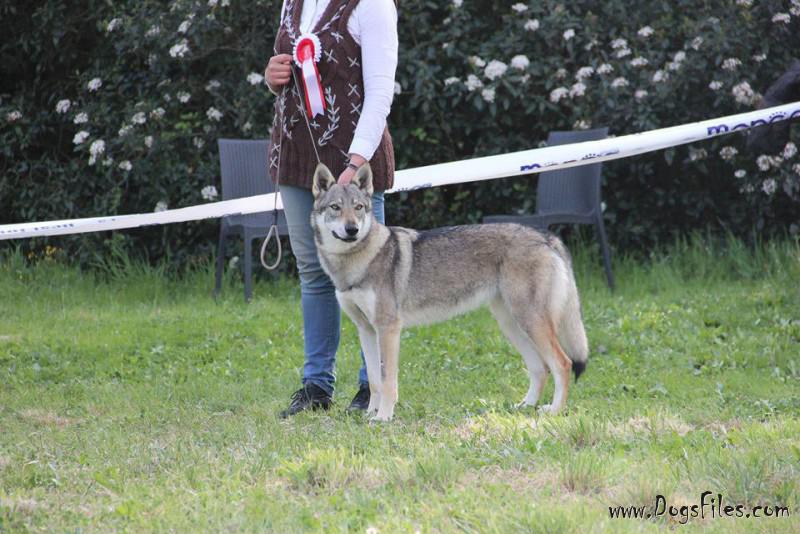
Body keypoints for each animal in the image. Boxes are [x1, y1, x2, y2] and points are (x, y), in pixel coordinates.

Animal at [310, 163, 589, 421]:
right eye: (335, 207)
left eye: (358, 207)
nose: (352, 229)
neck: (354, 263)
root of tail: (546, 237)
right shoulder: (366, 330)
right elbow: (374, 379)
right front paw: (370, 414)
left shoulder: (388, 329)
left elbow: (388, 380)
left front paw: (383, 418)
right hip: (512, 325)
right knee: (540, 368)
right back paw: (525, 406)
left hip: (530, 322)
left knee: (563, 363)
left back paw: (554, 411)